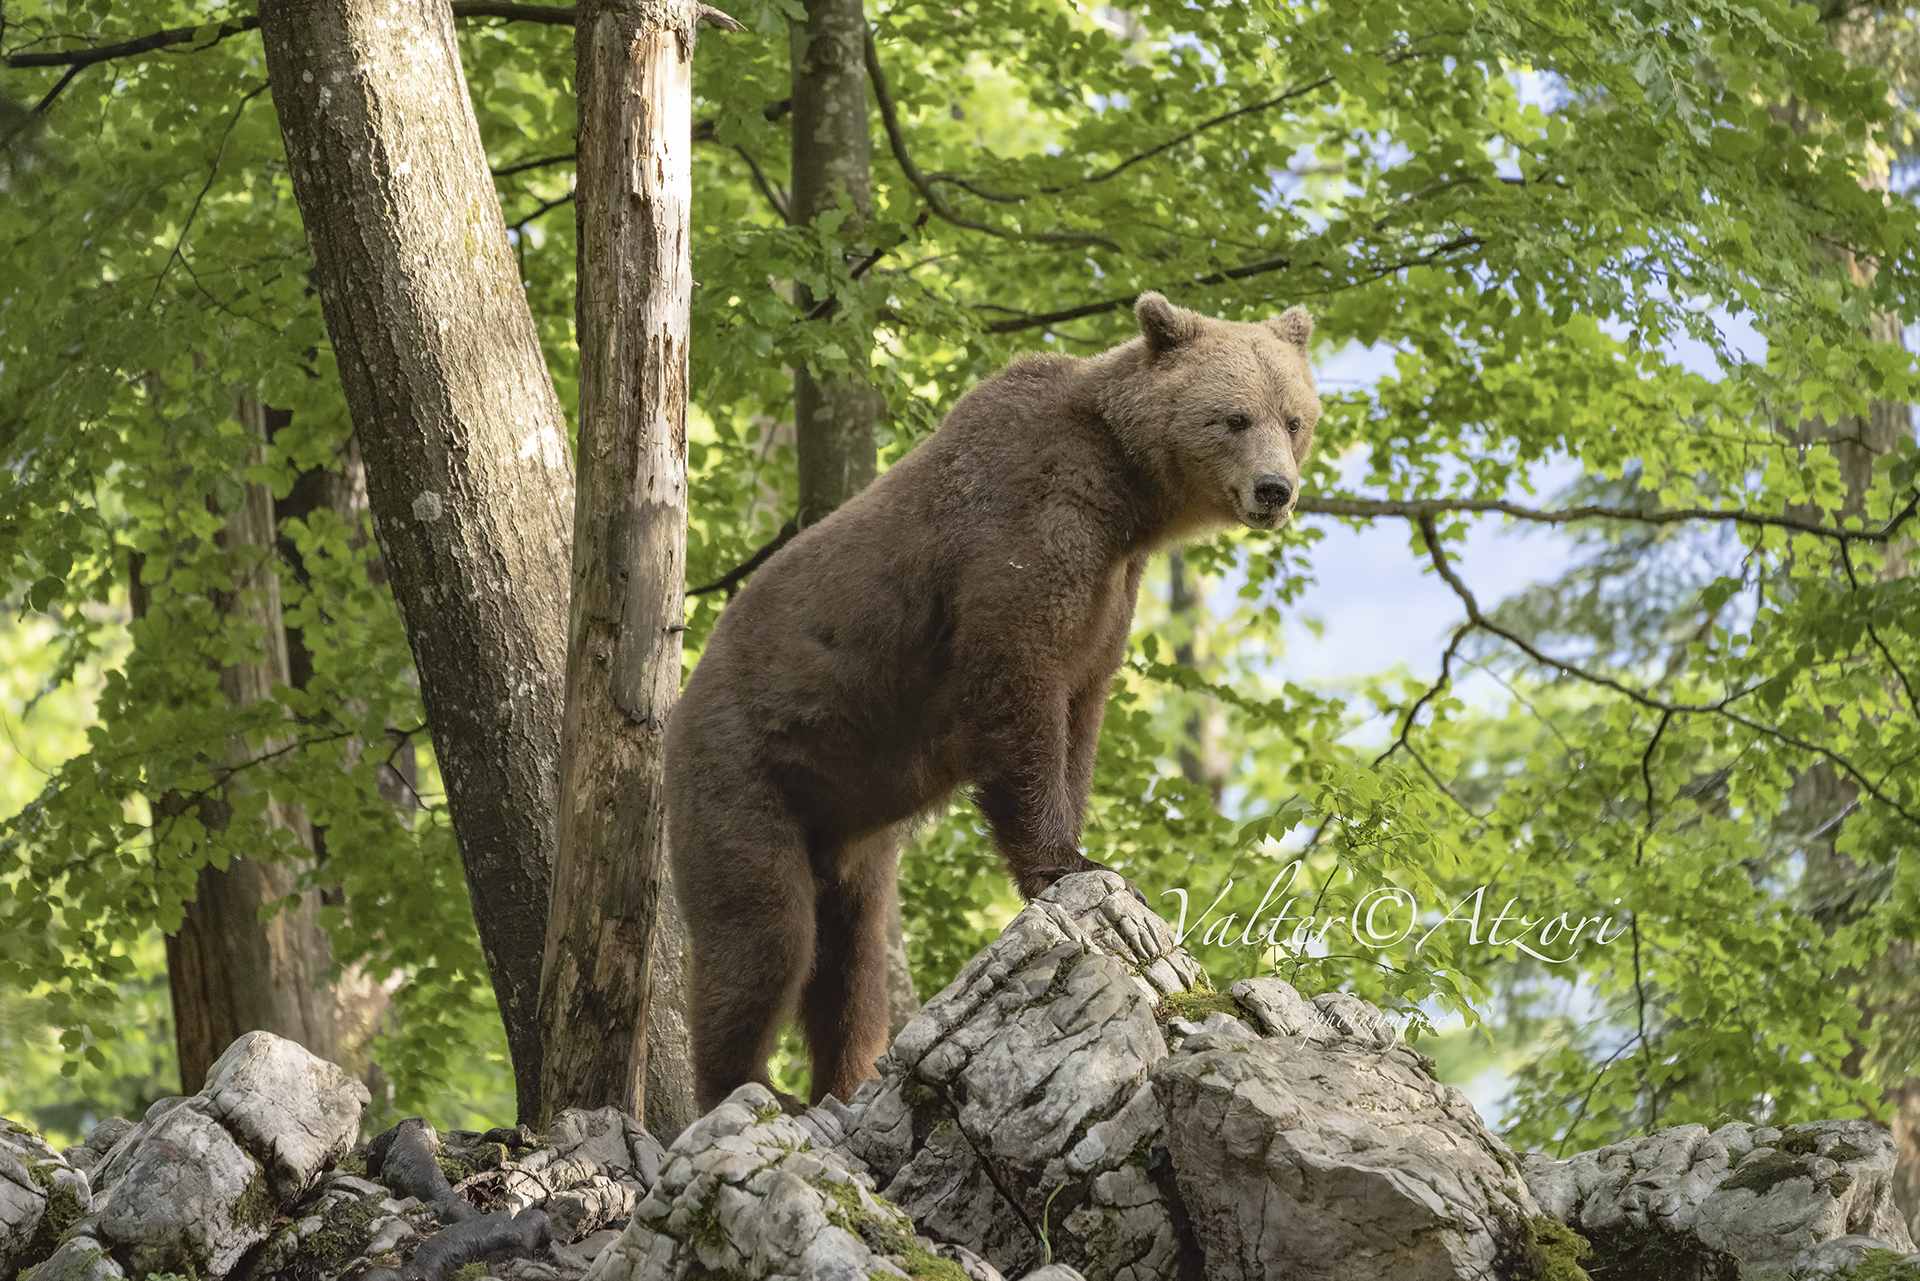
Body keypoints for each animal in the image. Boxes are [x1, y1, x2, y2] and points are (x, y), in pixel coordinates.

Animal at [664, 291, 1321, 1112]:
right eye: (1232, 417)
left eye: (1293, 418)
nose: (1274, 489)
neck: (1129, 496)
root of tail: (680, 699)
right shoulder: (1029, 527)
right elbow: (1017, 686)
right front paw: (1068, 863)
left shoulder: (1112, 589)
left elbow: (1081, 711)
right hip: (743, 770)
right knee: (765, 934)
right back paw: (749, 1087)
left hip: (849, 835)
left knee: (851, 966)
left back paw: (845, 1078)